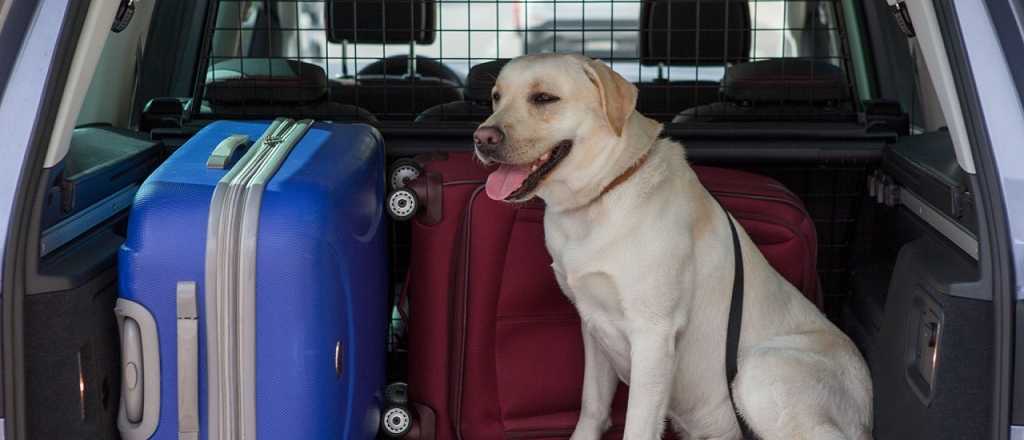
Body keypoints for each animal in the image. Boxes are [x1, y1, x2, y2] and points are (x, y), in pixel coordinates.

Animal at [471, 52, 872, 440]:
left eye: (544, 98)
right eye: (495, 97)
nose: (482, 138)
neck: (604, 192)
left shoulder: (653, 335)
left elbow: (637, 426)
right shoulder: (592, 322)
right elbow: (592, 406)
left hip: (759, 373)